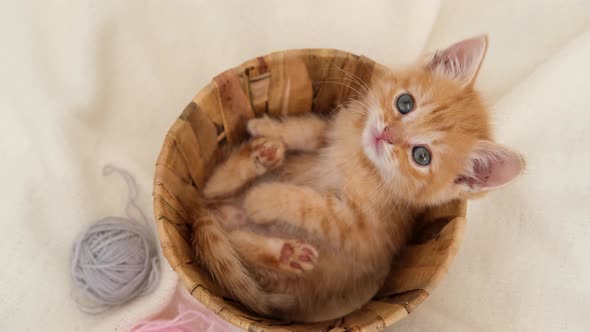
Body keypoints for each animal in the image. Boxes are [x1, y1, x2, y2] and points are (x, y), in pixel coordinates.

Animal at [192, 35, 524, 322]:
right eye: (405, 103)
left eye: (421, 156)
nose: (385, 134)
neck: (361, 159)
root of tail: (218, 214)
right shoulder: (333, 129)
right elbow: (310, 130)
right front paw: (269, 127)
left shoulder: (362, 230)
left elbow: (313, 206)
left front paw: (265, 199)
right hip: (221, 201)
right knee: (212, 188)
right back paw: (262, 155)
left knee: (235, 233)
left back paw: (287, 251)